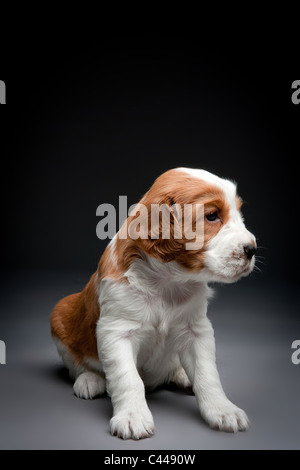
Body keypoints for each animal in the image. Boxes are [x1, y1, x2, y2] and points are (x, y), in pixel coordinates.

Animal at [51, 167, 255, 438]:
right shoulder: (116, 331)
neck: (167, 281)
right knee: (80, 365)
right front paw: (132, 417)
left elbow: (208, 374)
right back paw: (90, 380)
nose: (252, 249)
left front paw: (223, 411)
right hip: (59, 314)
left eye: (239, 213)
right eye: (212, 216)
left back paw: (181, 375)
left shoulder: (196, 330)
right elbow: (128, 378)